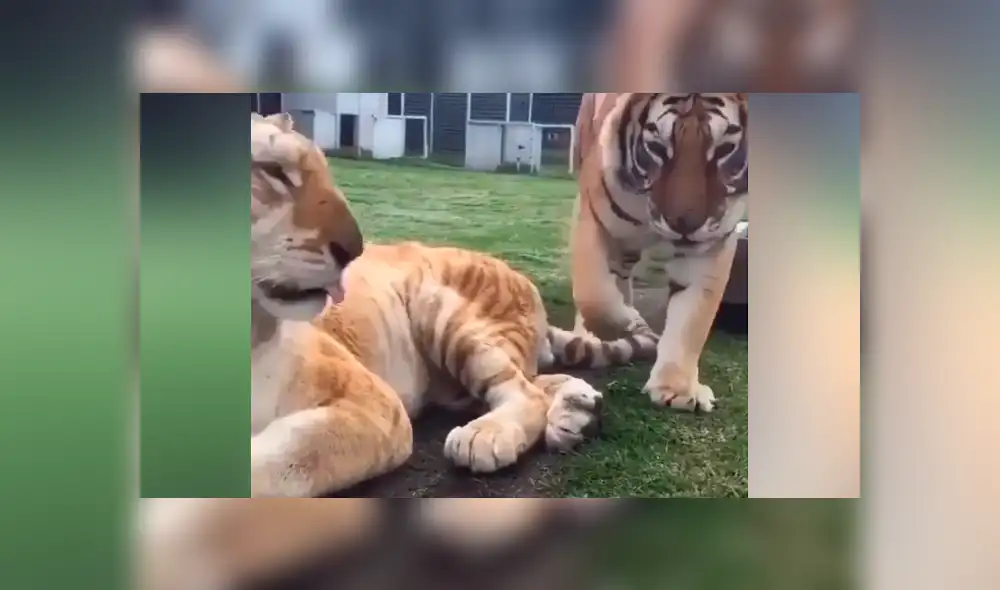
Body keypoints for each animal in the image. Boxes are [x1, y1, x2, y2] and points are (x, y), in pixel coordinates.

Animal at [249, 112, 659, 498]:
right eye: (274, 171)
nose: (353, 247)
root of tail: (522, 278)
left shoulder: (370, 402)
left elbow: (282, 458)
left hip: (445, 317)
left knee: (526, 392)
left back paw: (490, 435)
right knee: (537, 382)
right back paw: (579, 411)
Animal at [570, 93, 747, 412]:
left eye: (725, 149)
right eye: (657, 148)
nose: (684, 223)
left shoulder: (711, 247)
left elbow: (692, 320)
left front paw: (676, 389)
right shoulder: (593, 218)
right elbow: (594, 296)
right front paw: (628, 324)